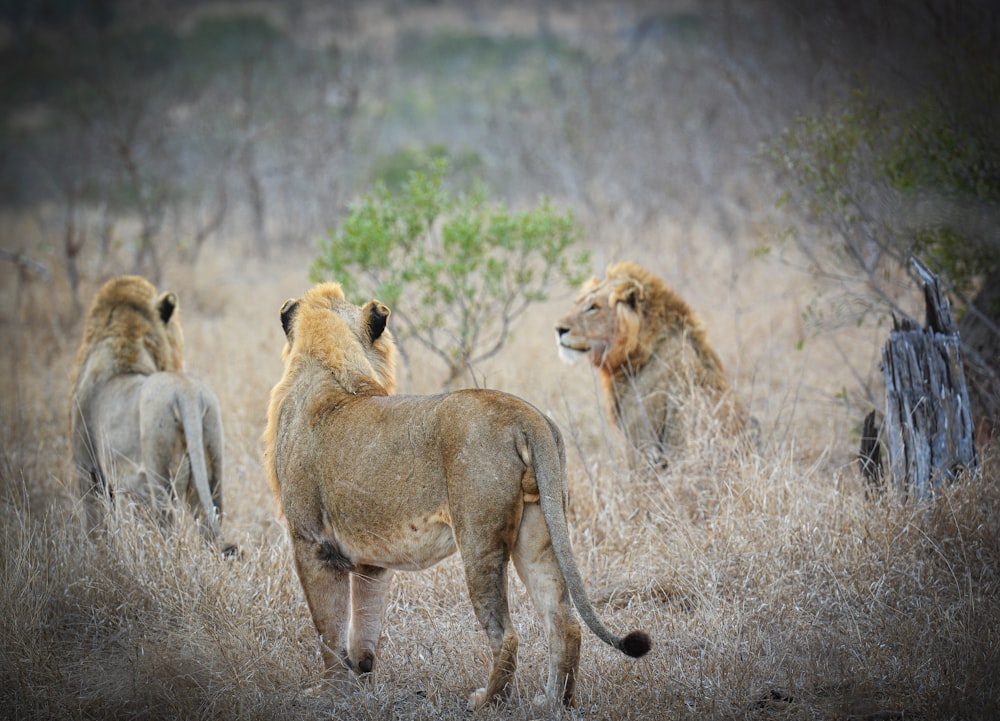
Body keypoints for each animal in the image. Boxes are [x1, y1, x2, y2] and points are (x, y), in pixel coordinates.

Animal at [70, 276, 230, 552]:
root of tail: (185, 391)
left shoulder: (89, 470)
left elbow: (95, 523)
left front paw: (97, 554)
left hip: (159, 474)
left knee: (166, 524)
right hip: (212, 466)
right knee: (210, 520)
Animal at [262, 282, 648, 708]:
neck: (329, 366)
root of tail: (525, 415)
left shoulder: (311, 543)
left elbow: (328, 627)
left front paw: (329, 693)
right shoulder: (370, 559)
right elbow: (363, 625)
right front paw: (360, 682)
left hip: (479, 538)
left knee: (507, 635)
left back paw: (486, 701)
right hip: (539, 531)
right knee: (563, 622)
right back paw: (551, 703)